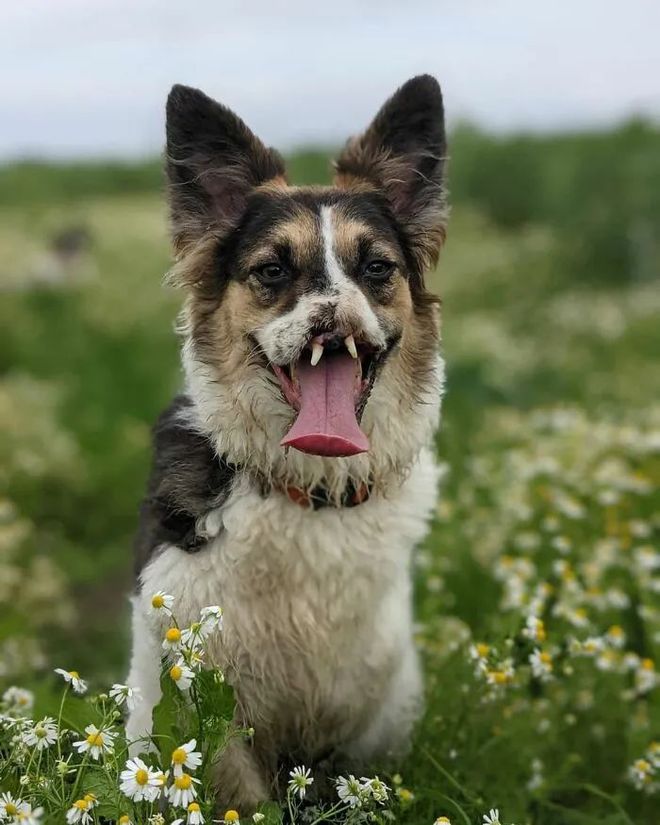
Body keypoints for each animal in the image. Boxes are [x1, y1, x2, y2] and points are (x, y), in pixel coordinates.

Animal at [125, 72, 448, 812]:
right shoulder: (204, 699)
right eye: (273, 271)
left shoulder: (368, 715)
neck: (310, 489)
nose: (334, 314)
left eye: (376, 268)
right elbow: (237, 792)